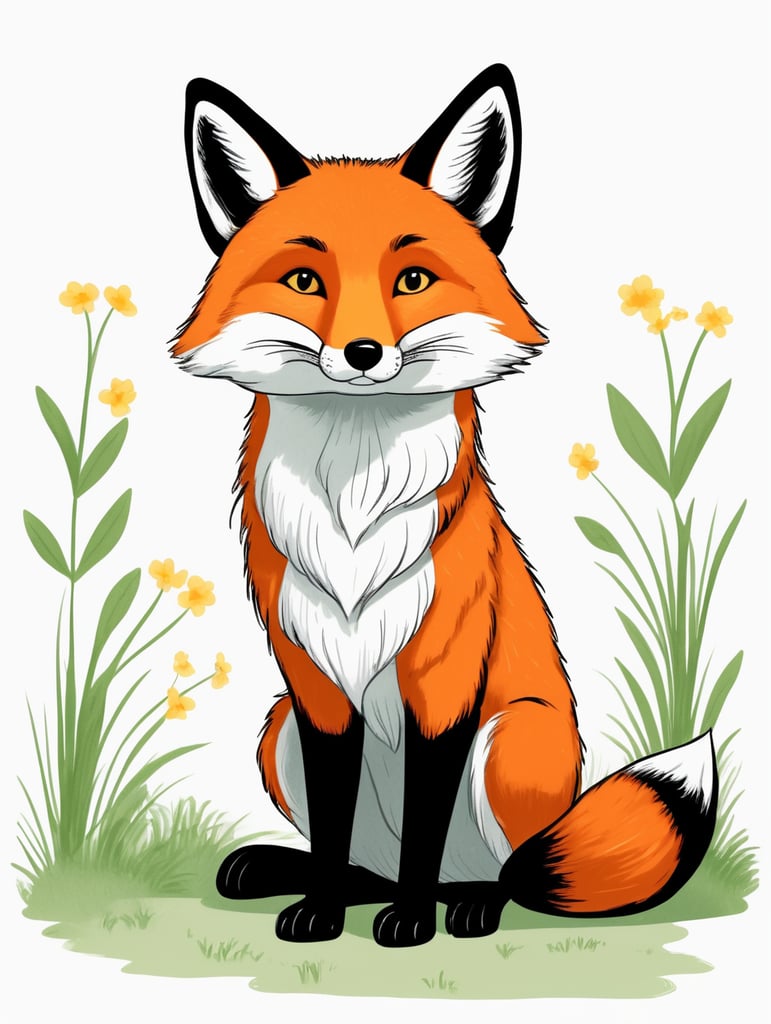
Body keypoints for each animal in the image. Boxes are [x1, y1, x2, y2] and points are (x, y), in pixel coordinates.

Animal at [172, 65, 717, 947]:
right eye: (304, 282)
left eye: (412, 281)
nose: (362, 353)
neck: (354, 508)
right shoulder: (315, 689)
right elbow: (332, 826)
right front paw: (320, 911)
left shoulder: (445, 682)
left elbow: (426, 826)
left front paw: (412, 922)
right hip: (276, 729)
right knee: (367, 861)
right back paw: (315, 879)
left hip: (510, 744)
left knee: (505, 874)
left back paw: (461, 903)